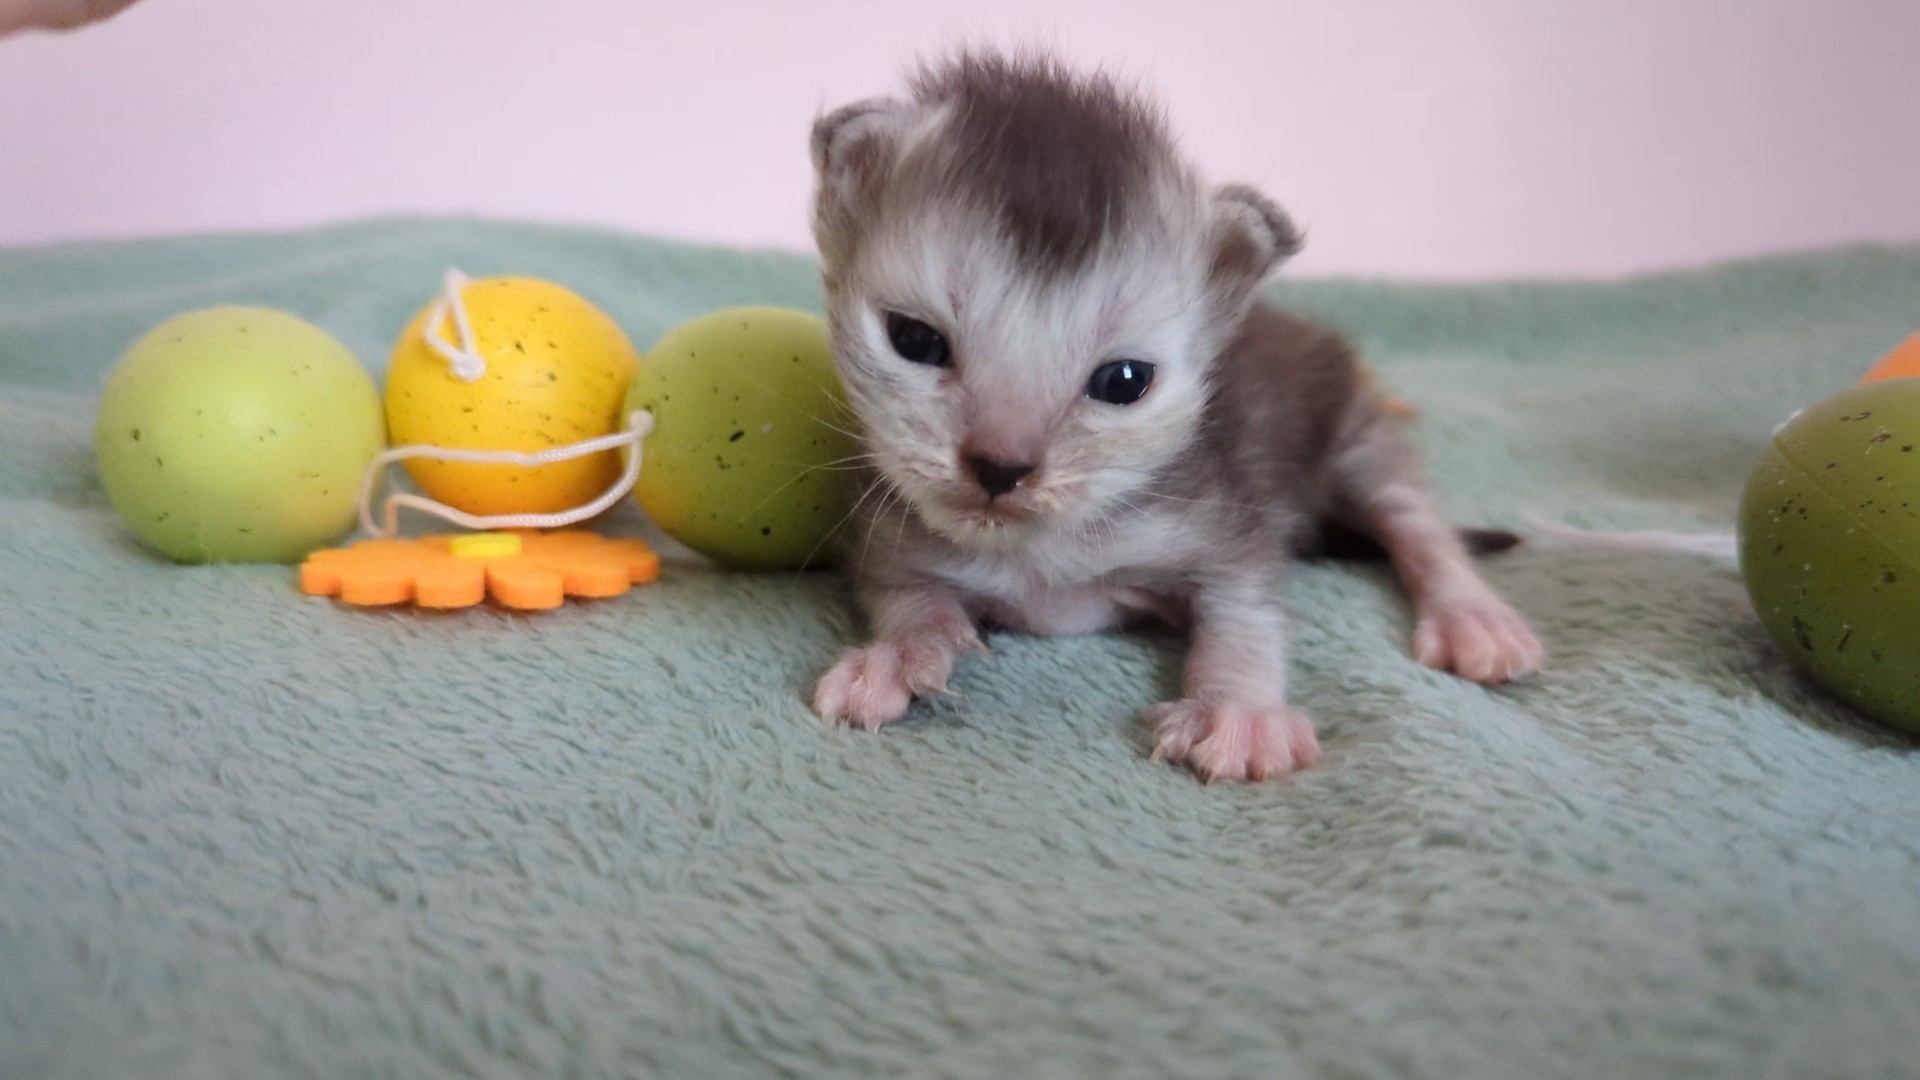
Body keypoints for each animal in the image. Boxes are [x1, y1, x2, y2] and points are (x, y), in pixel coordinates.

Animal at [805, 50, 1543, 781]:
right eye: (915, 340)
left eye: (1124, 381)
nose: (1001, 467)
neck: (1042, 552)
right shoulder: (887, 535)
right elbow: (907, 596)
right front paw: (900, 655)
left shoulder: (1229, 520)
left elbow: (1246, 612)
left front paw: (1238, 711)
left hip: (1354, 427)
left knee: (1412, 519)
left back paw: (1473, 617)